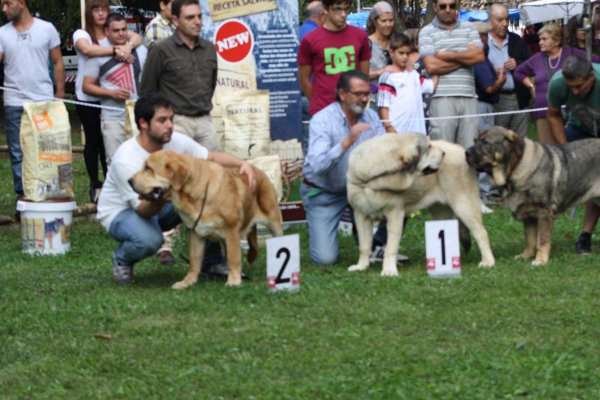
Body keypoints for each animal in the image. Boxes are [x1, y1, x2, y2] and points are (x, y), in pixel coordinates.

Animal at [344, 133, 494, 276]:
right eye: (428, 147)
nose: (443, 153)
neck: (373, 180)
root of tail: (461, 149)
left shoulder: (395, 215)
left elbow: (390, 247)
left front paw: (389, 270)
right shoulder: (361, 215)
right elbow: (364, 246)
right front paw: (361, 266)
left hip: (464, 205)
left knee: (481, 232)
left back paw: (488, 261)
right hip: (442, 212)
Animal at [466, 126, 600, 266]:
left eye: (485, 143)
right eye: (475, 141)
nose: (466, 152)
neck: (515, 167)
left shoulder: (545, 212)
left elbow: (542, 240)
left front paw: (540, 260)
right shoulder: (528, 214)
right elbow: (529, 238)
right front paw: (526, 255)